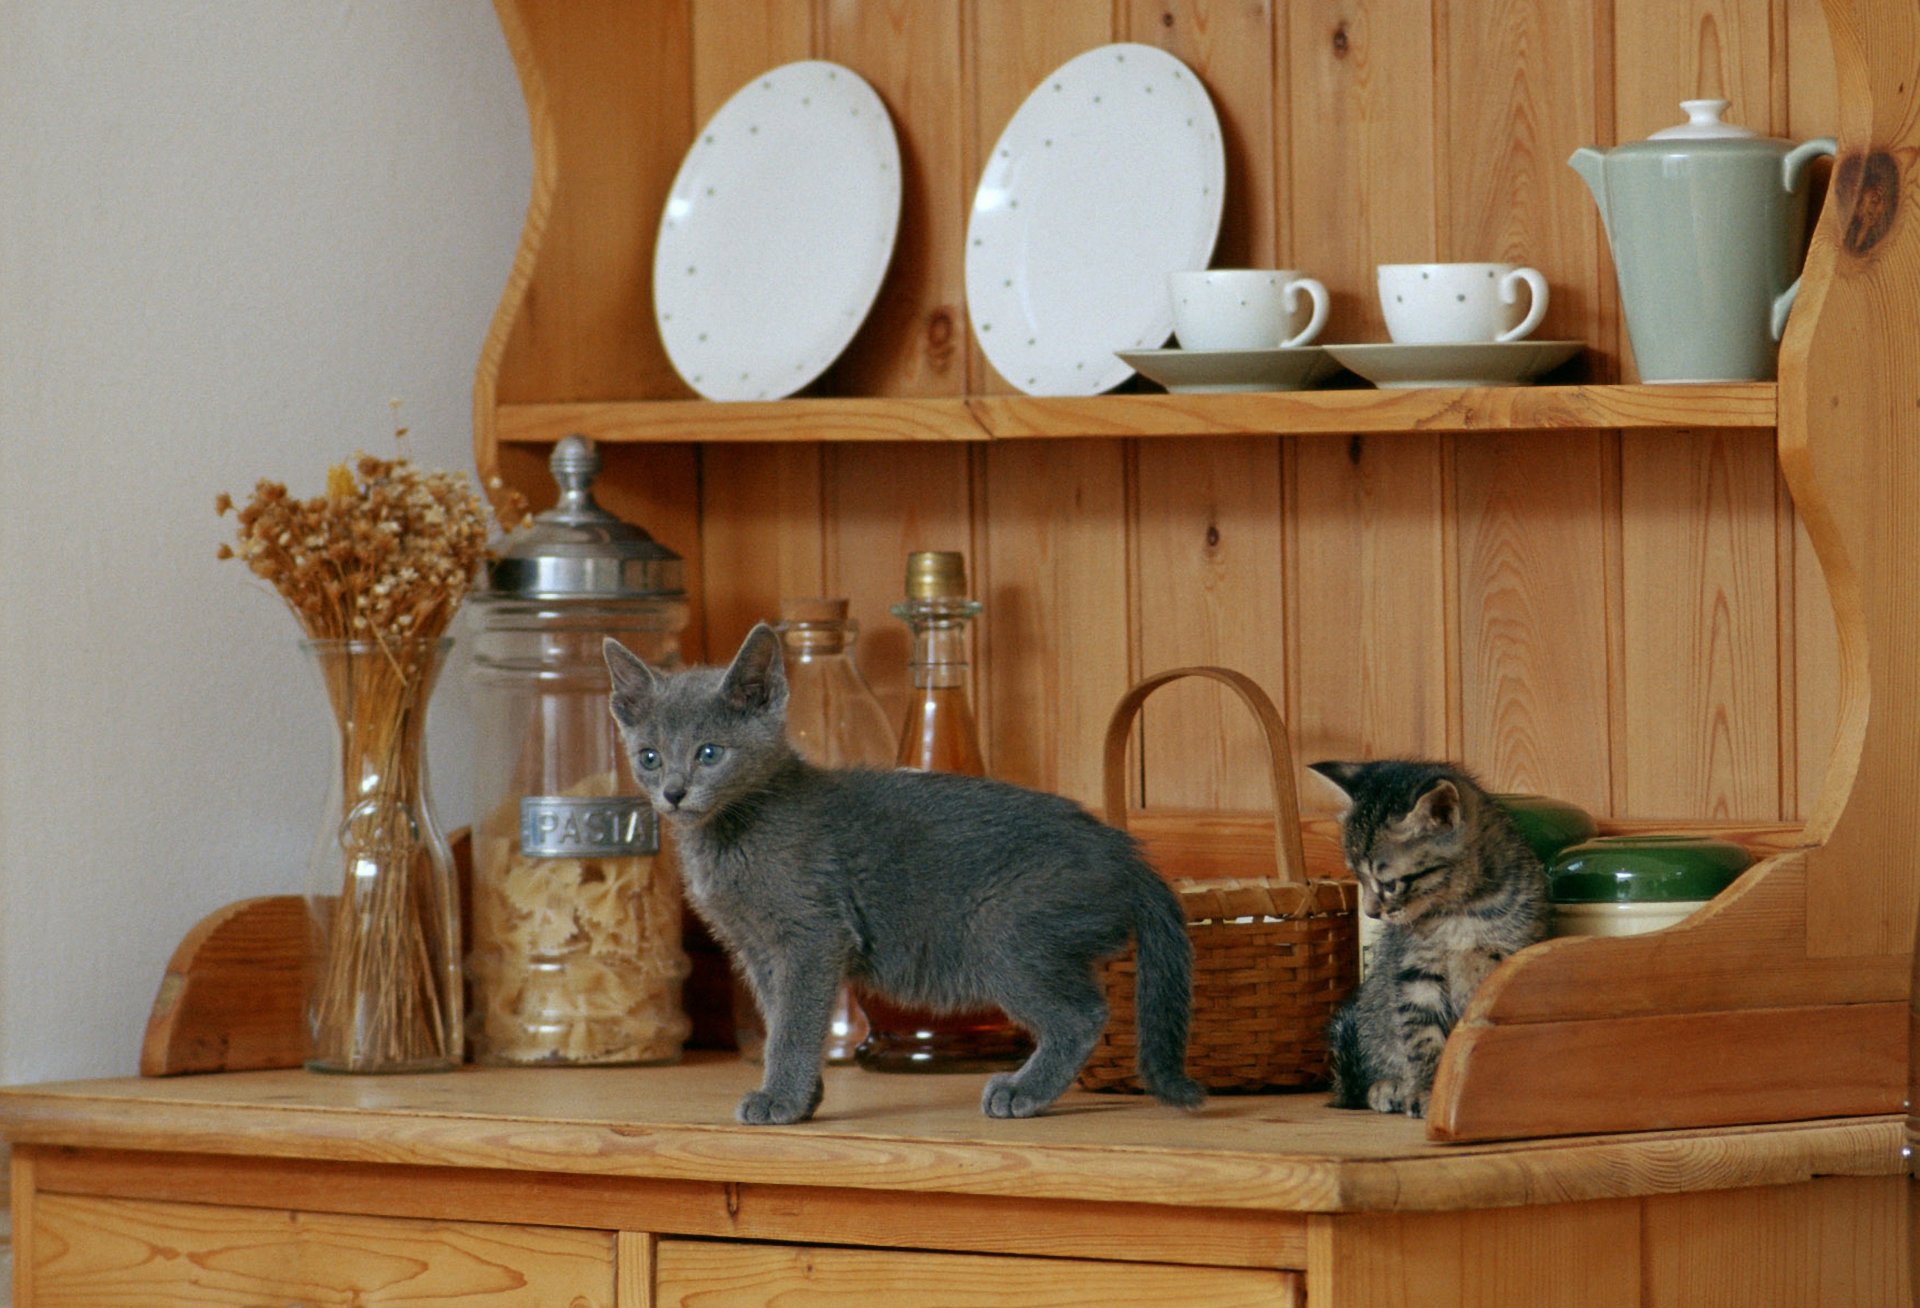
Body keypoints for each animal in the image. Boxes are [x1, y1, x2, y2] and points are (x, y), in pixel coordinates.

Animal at [602, 622, 1198, 1121]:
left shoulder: (811, 935)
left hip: (1004, 927)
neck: (731, 833)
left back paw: (1022, 1091)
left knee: (1085, 1015)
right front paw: (803, 1095)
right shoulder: (758, 949)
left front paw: (782, 1100)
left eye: (709, 753)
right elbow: (781, 1018)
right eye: (649, 757)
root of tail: (1124, 853)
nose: (673, 793)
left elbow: (794, 1024)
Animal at [1305, 760, 1543, 1114]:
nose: (1371, 912)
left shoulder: (1507, 952)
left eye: (1388, 884)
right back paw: (1388, 1087)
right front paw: (1428, 1088)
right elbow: (1421, 1034)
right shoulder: (1414, 968)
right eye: (1357, 876)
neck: (1457, 910)